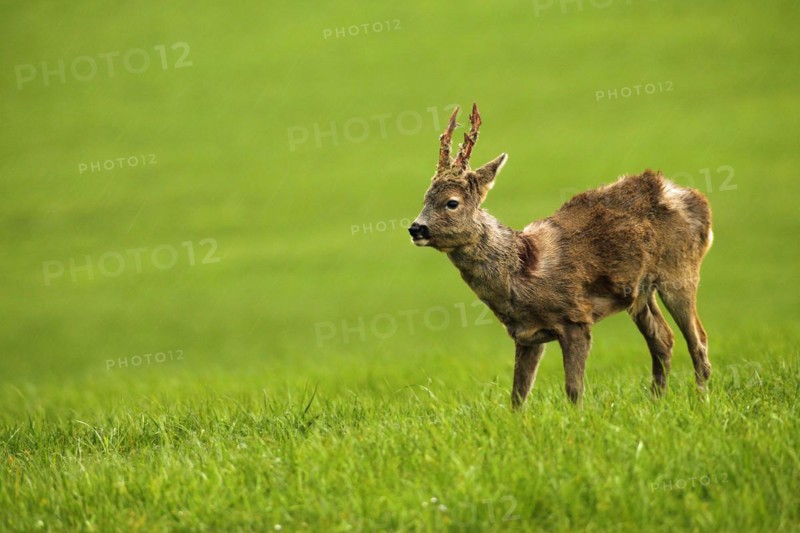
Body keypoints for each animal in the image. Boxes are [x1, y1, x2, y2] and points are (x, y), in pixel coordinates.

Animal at [408, 103, 713, 407]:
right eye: (424, 199)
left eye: (452, 203)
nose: (416, 228)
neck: (520, 273)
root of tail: (696, 199)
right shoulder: (526, 335)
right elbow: (517, 396)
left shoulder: (575, 319)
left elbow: (574, 390)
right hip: (639, 292)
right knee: (663, 339)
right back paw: (655, 401)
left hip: (680, 270)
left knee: (698, 340)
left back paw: (700, 400)